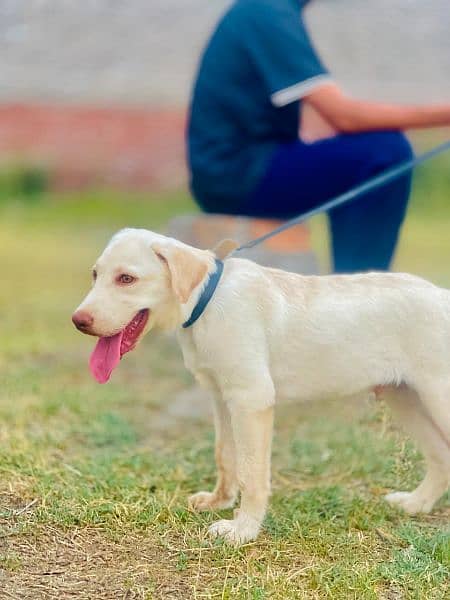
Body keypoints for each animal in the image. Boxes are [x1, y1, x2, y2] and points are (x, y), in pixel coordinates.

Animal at [72, 229, 448, 544]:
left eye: (127, 279)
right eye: (95, 274)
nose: (78, 321)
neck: (207, 303)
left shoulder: (251, 400)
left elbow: (251, 472)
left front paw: (243, 530)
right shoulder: (221, 398)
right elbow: (225, 456)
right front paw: (219, 501)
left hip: (435, 397)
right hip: (405, 398)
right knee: (441, 455)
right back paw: (416, 503)